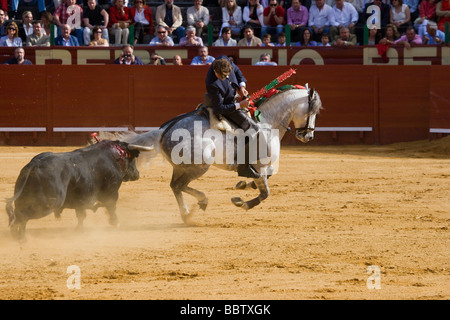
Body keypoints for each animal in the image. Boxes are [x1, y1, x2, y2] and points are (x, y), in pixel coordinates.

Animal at [5, 140, 153, 240]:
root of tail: (34, 164)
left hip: (26, 197)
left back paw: (17, 234)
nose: (137, 174)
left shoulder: (81, 199)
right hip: (48, 203)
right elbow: (111, 207)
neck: (115, 157)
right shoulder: (111, 192)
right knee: (22, 216)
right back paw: (21, 237)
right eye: (133, 158)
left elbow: (81, 215)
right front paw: (115, 223)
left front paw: (79, 230)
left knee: (18, 214)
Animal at [125, 85, 322, 225]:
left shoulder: (264, 167)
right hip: (199, 166)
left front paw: (244, 185)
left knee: (175, 186)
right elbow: (265, 193)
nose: (309, 136)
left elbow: (266, 180)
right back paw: (200, 203)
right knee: (179, 185)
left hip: (180, 167)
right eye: (313, 112)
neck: (267, 121)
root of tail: (165, 129)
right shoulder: (260, 165)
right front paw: (241, 202)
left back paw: (187, 214)